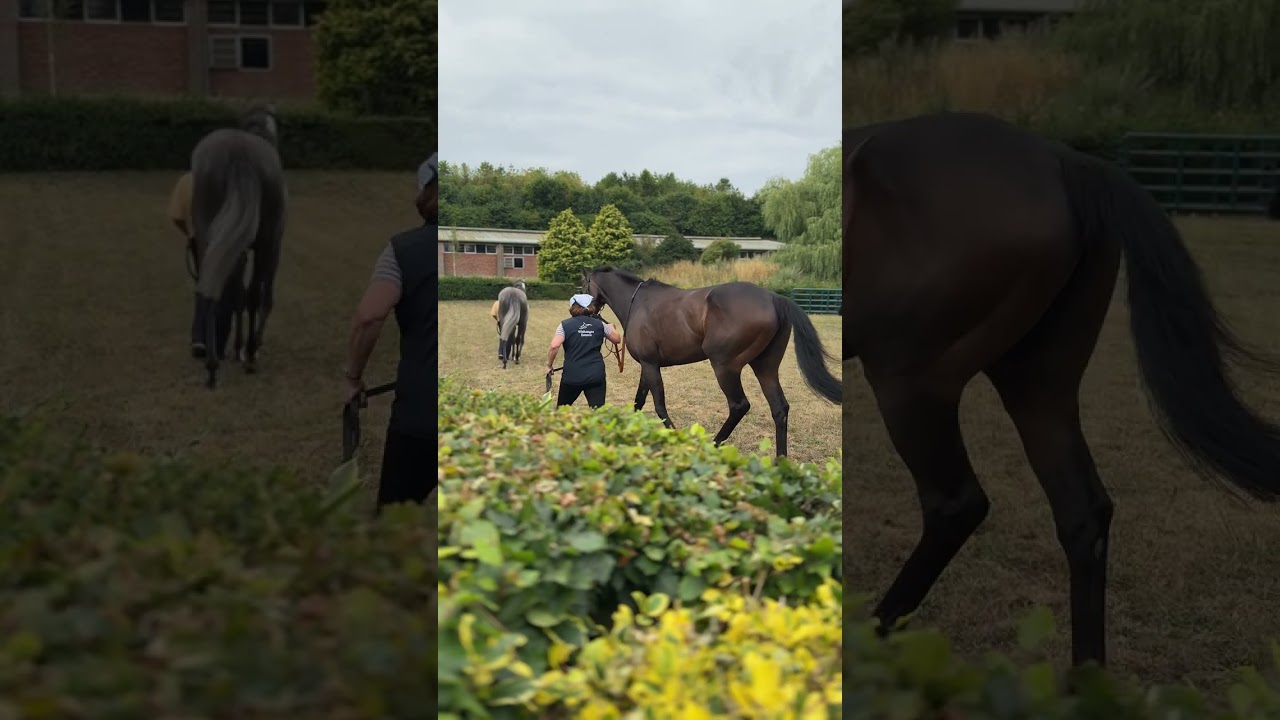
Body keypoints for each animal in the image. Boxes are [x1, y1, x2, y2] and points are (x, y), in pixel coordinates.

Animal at [190, 104, 287, 389]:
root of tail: (239, 154)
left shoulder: (238, 251)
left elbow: (236, 297)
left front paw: (236, 347)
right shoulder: (273, 249)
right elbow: (261, 298)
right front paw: (249, 347)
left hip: (209, 240)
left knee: (211, 290)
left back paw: (212, 366)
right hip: (265, 245)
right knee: (254, 295)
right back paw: (251, 356)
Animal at [582, 266, 841, 458]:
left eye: (582, 285)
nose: (584, 310)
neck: (637, 302)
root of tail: (774, 297)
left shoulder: (650, 364)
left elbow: (658, 406)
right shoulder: (649, 365)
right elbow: (639, 400)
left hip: (725, 368)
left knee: (739, 405)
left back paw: (713, 445)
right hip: (765, 367)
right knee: (779, 408)